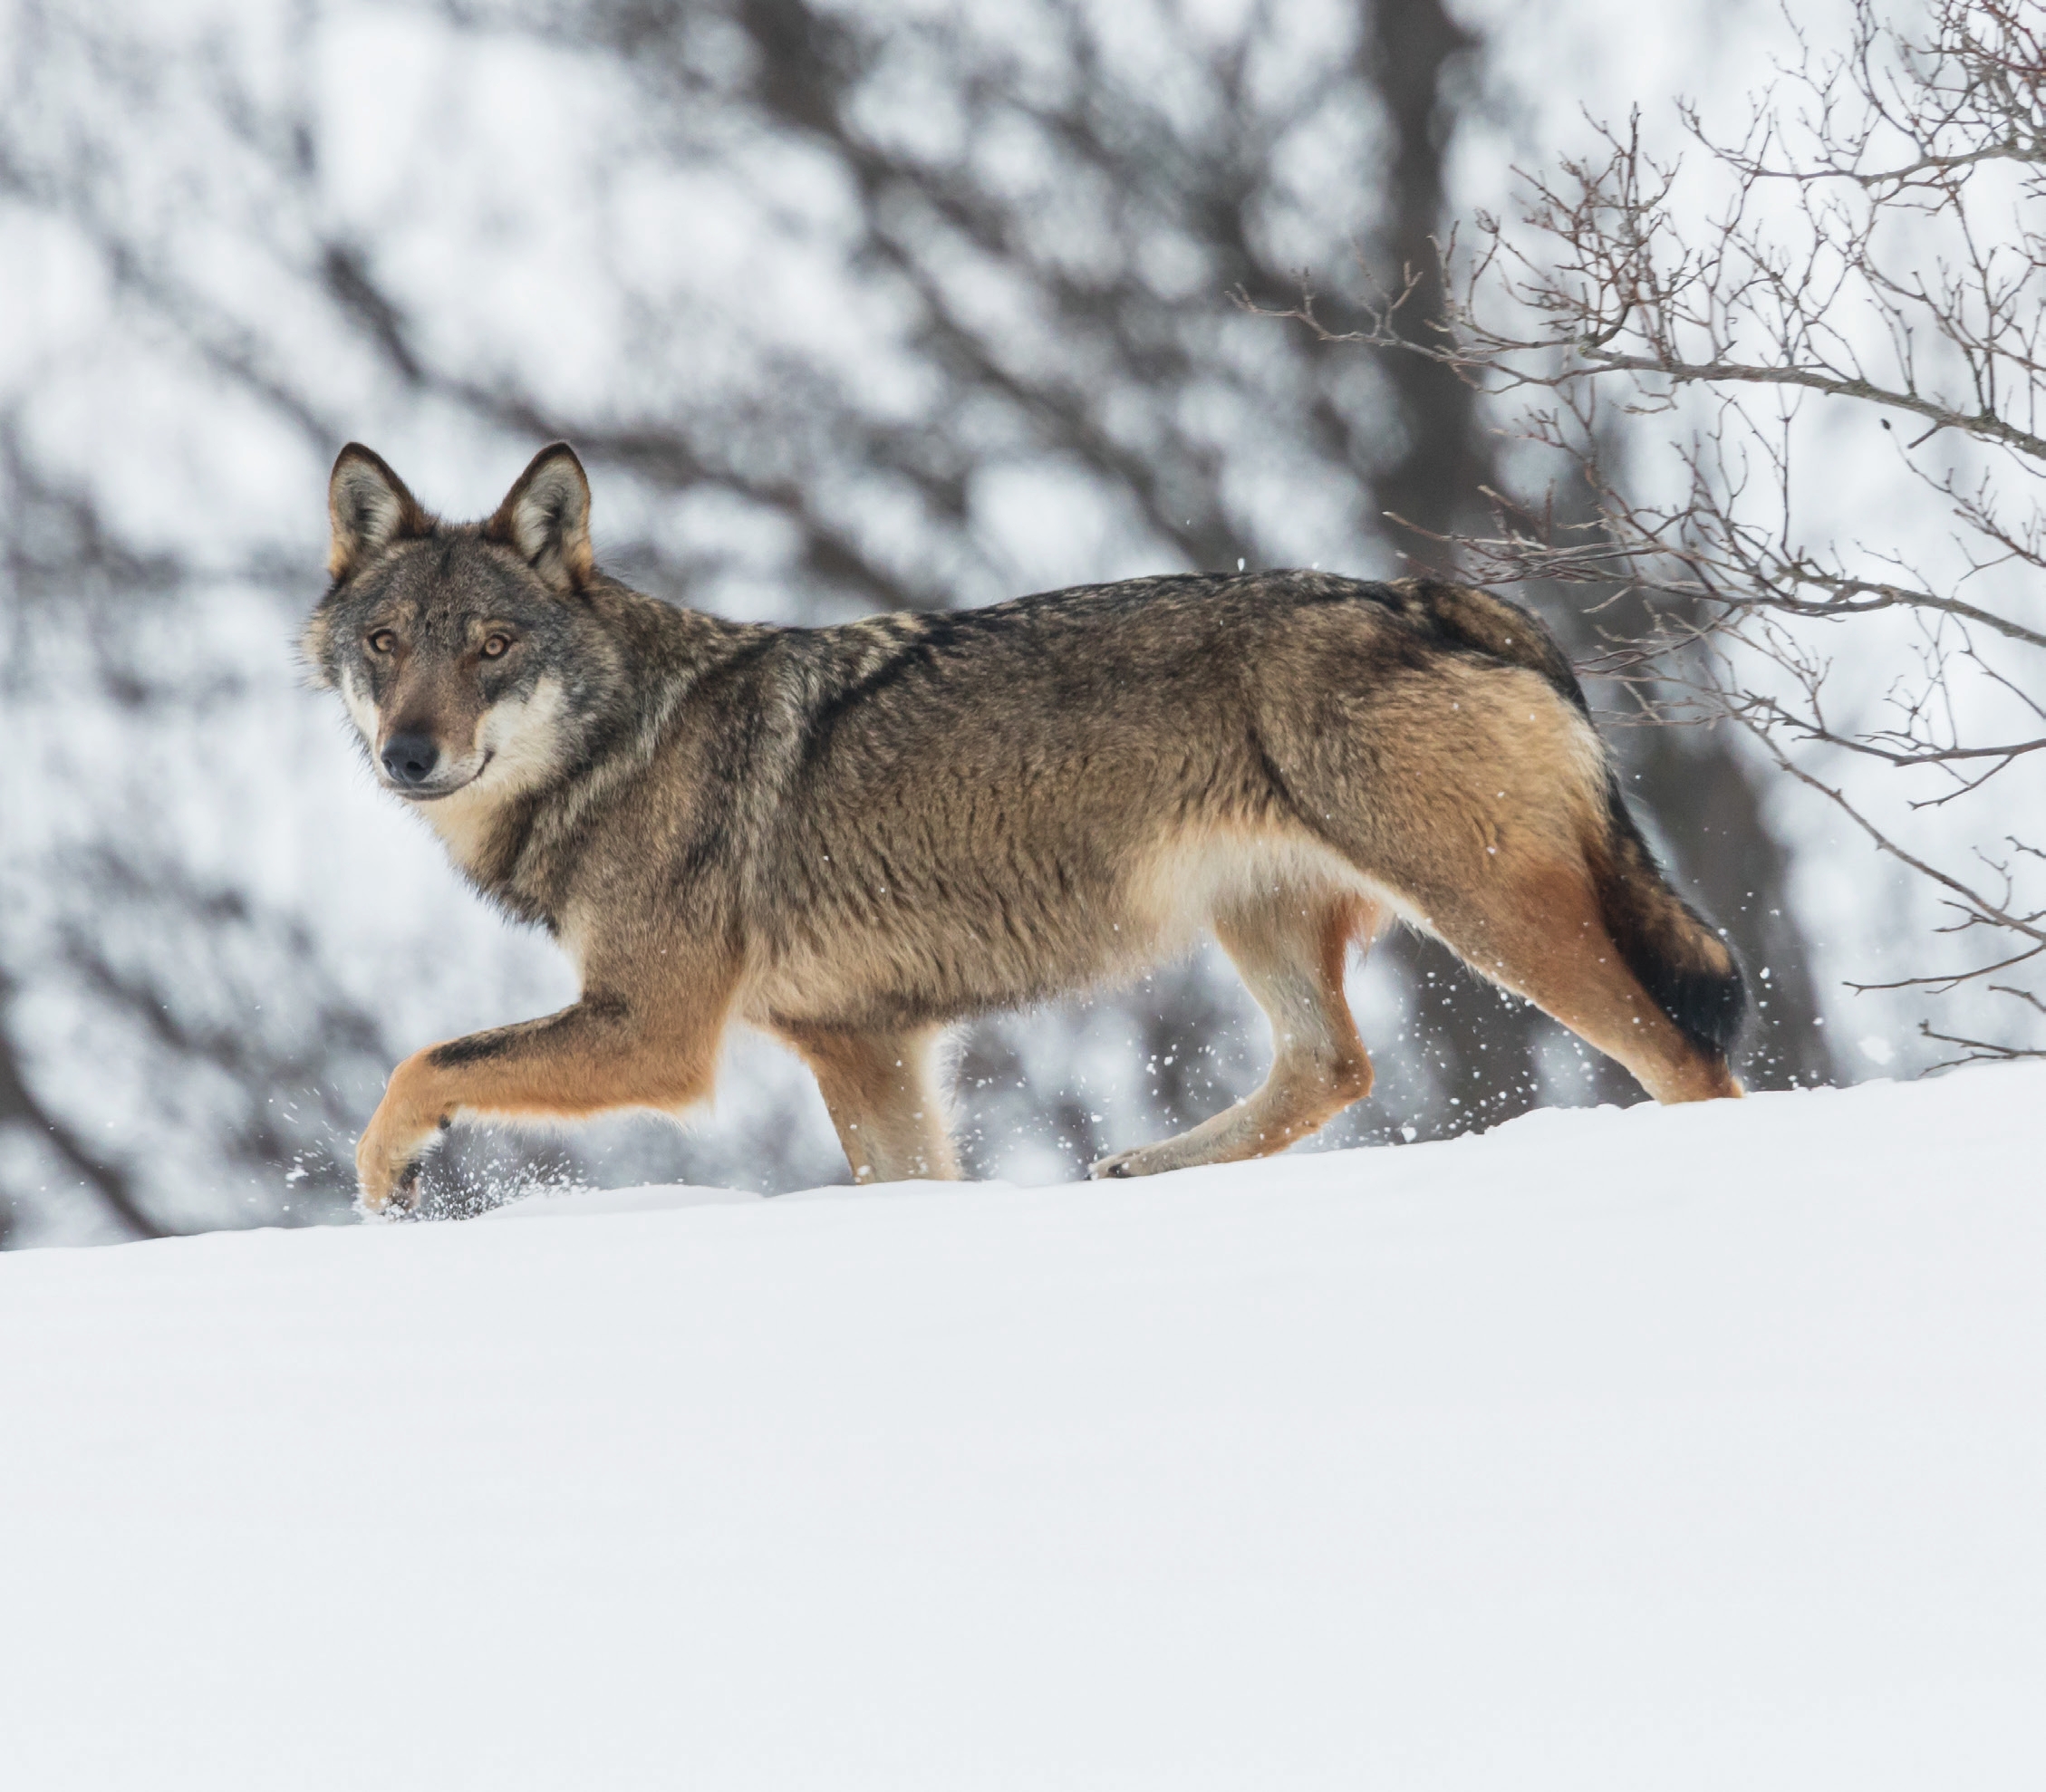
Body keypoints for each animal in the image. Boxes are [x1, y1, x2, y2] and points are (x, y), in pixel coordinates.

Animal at [306, 442, 1744, 1211]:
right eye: (386, 645)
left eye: (490, 646)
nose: (408, 753)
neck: (621, 741)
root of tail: (1440, 597)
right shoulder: (863, 1046)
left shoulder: (656, 1033)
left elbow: (421, 1063)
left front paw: (385, 1183)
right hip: (1267, 923)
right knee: (1333, 1069)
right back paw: (1140, 1171)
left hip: (1492, 920)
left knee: (1686, 1064)